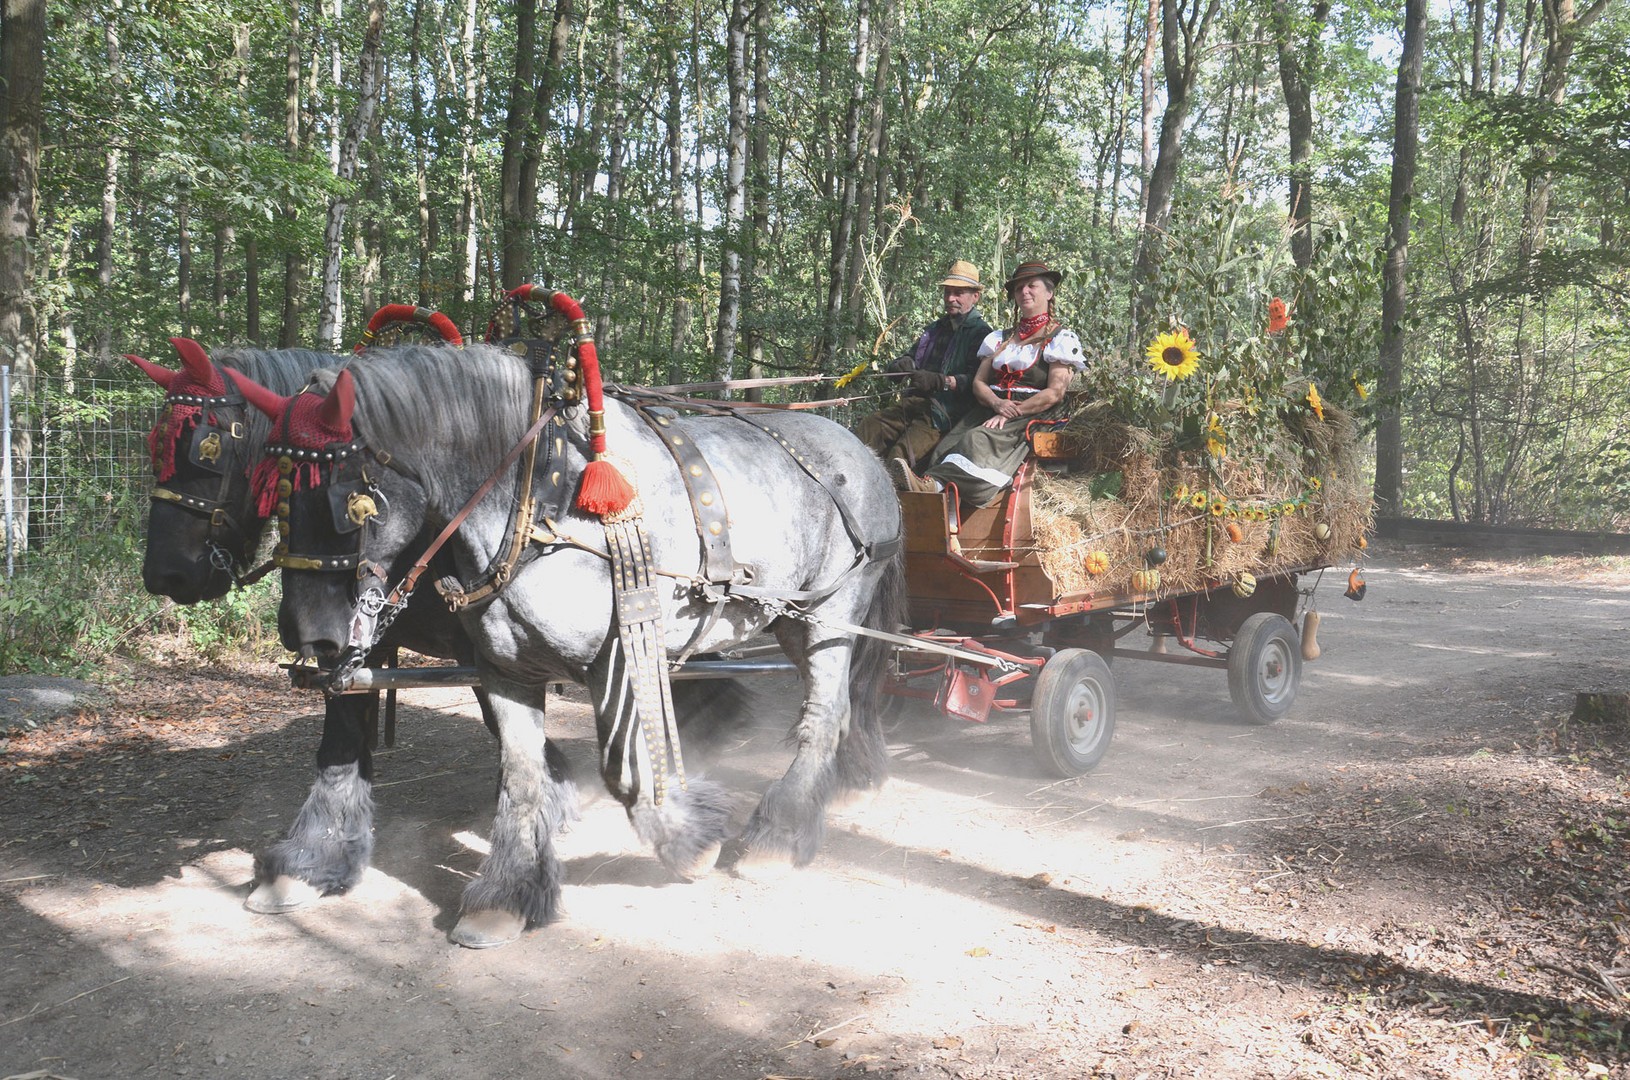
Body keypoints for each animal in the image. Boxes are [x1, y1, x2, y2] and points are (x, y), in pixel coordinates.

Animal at [233, 343, 906, 944]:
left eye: (349, 500)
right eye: (275, 493)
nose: (309, 635)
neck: (544, 502)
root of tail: (865, 453)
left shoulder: (620, 655)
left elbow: (626, 768)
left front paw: (690, 839)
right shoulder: (503, 670)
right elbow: (522, 771)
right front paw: (506, 895)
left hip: (832, 616)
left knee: (824, 712)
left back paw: (780, 834)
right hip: (791, 621)